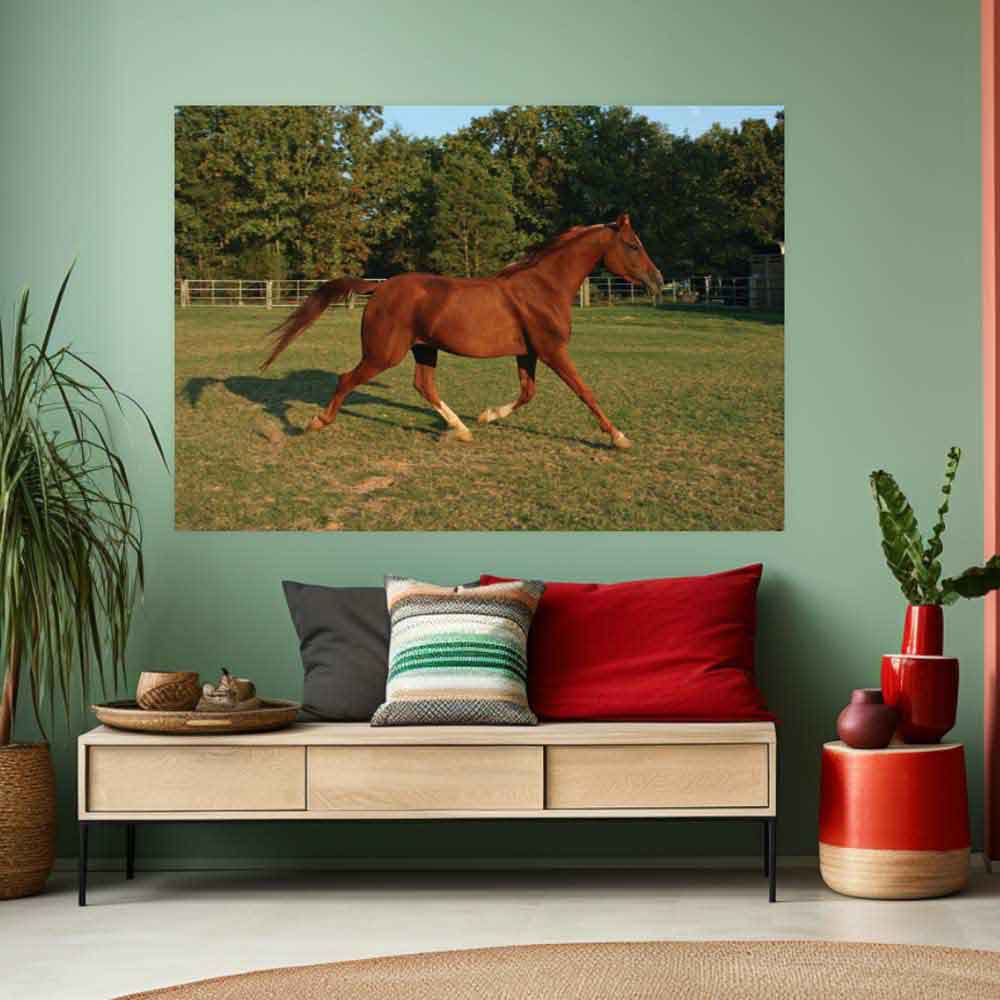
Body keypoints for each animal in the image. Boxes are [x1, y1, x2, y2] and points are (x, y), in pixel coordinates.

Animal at [260, 213, 664, 449]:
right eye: (633, 245)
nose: (658, 280)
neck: (544, 287)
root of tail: (380, 287)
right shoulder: (552, 351)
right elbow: (585, 391)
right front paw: (619, 437)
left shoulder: (528, 352)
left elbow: (528, 393)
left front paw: (486, 416)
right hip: (383, 354)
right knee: (347, 378)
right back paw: (316, 422)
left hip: (424, 348)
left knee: (424, 386)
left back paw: (460, 429)